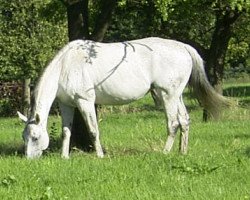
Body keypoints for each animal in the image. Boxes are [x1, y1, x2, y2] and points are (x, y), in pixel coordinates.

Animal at [17, 37, 229, 159]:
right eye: (24, 137)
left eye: (35, 137)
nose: (29, 160)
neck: (66, 65)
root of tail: (184, 47)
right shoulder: (66, 104)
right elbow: (66, 132)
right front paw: (64, 157)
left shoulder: (85, 102)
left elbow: (93, 130)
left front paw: (100, 156)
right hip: (175, 96)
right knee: (184, 121)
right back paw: (182, 152)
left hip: (167, 95)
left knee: (173, 124)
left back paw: (165, 152)